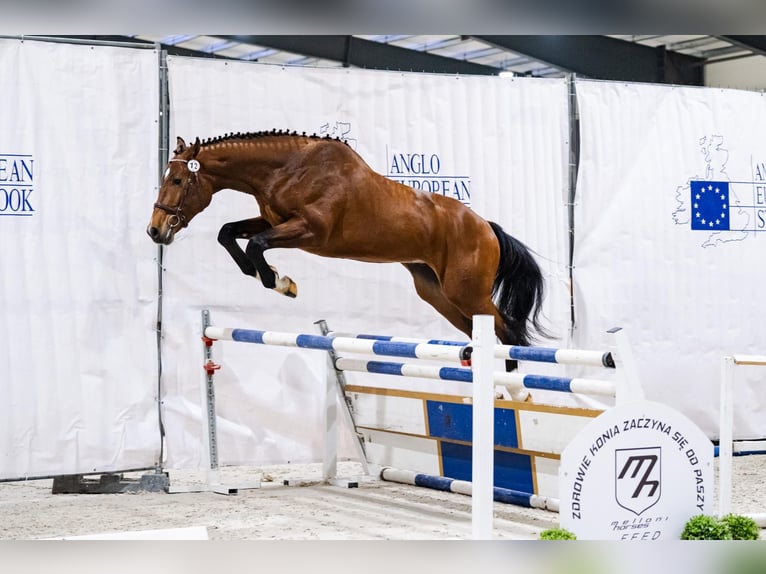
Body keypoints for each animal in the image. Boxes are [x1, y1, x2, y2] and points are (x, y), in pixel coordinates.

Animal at [147, 130, 547, 365]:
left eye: (178, 180)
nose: (155, 231)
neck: (289, 168)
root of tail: (486, 227)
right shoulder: (273, 220)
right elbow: (228, 233)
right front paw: (269, 276)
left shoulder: (309, 231)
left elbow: (257, 245)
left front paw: (281, 283)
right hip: (438, 293)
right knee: (486, 332)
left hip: (466, 291)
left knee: (509, 333)